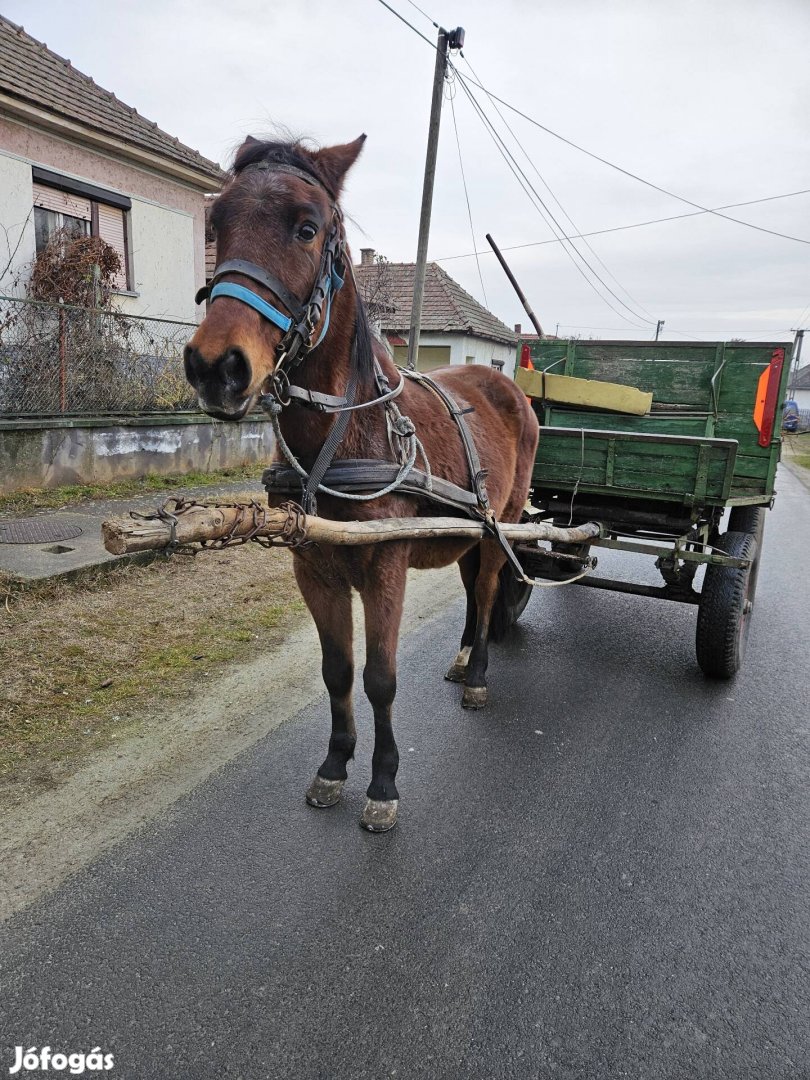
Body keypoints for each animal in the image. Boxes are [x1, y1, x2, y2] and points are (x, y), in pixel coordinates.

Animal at [183, 132, 540, 825]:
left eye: (307, 228)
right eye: (217, 224)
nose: (216, 366)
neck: (348, 432)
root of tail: (507, 384)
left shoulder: (385, 568)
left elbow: (380, 677)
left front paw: (382, 782)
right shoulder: (314, 570)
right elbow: (338, 671)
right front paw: (335, 763)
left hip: (500, 525)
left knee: (487, 593)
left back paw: (478, 674)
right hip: (463, 530)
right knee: (470, 592)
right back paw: (463, 655)